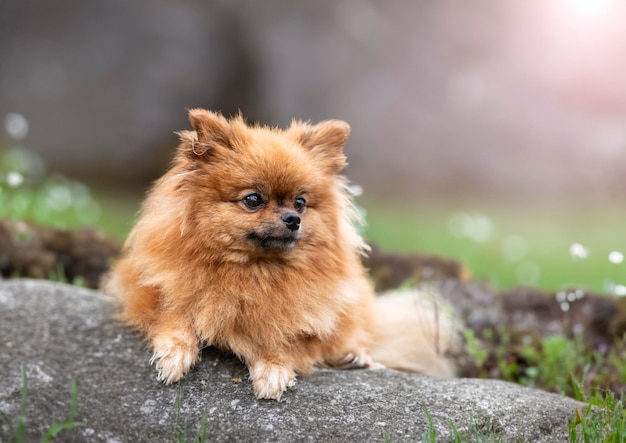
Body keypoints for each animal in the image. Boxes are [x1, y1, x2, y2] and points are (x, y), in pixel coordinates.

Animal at [102, 109, 460, 400]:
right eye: (253, 200)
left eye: (300, 202)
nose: (292, 219)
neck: (254, 271)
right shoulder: (148, 290)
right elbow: (173, 316)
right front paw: (175, 354)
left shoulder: (299, 316)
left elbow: (282, 337)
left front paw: (273, 368)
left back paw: (353, 357)